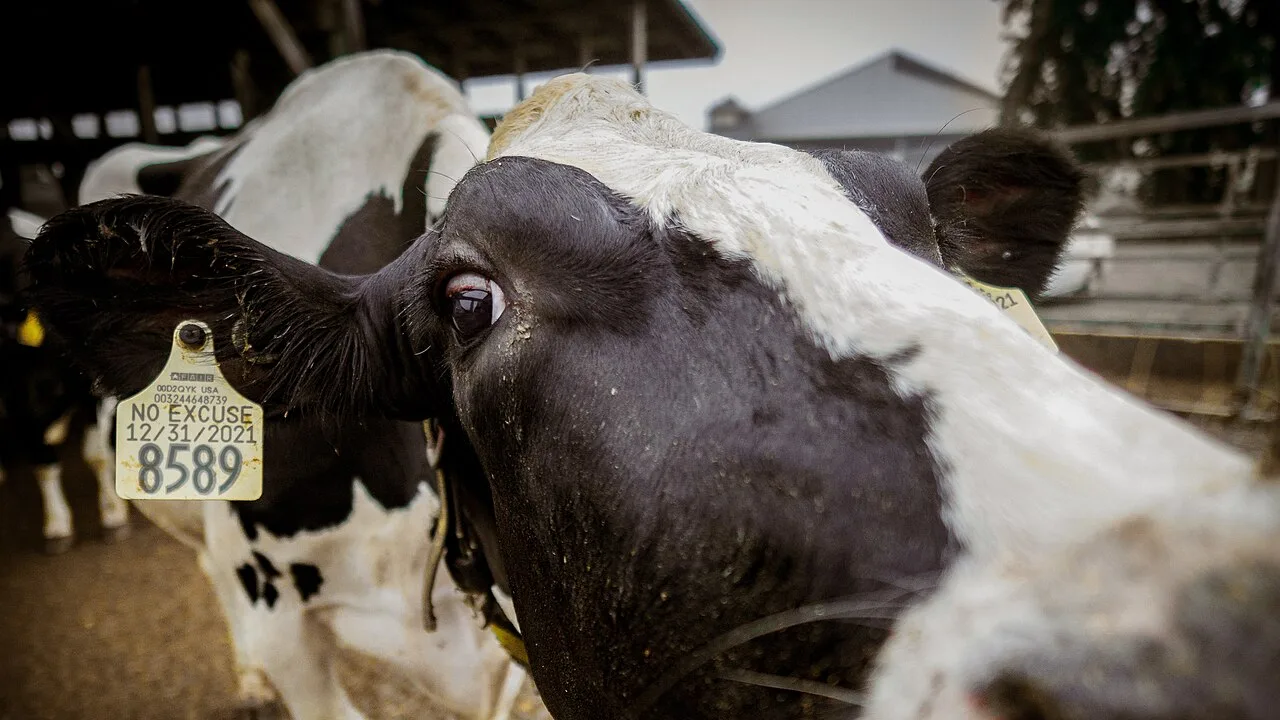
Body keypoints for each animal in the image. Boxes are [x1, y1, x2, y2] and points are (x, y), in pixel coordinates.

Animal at [1, 206, 129, 554]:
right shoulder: (16, 398)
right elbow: (42, 460)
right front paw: (57, 525)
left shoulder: (89, 387)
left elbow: (97, 455)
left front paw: (113, 514)